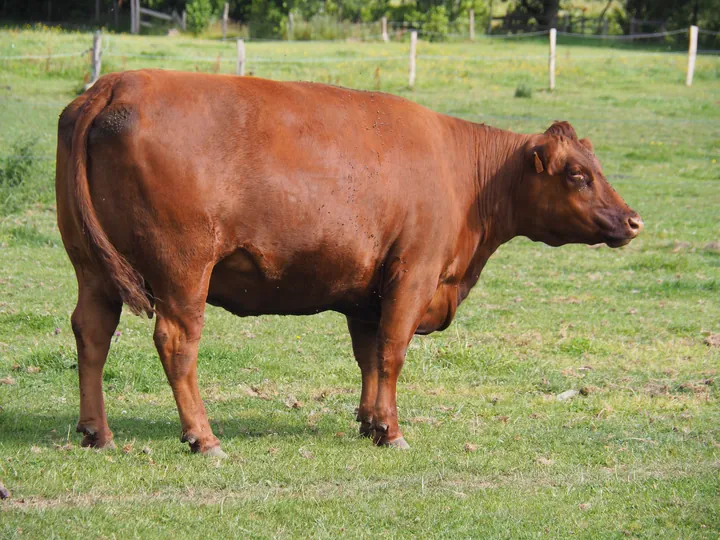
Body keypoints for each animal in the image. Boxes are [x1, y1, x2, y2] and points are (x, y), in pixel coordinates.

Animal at [54, 68, 640, 456]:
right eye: (578, 175)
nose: (633, 220)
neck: (464, 175)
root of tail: (116, 83)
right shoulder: (413, 274)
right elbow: (393, 353)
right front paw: (392, 431)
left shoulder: (367, 292)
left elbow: (369, 357)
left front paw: (368, 422)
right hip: (183, 272)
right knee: (176, 344)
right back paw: (203, 437)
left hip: (92, 268)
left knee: (91, 332)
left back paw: (97, 433)